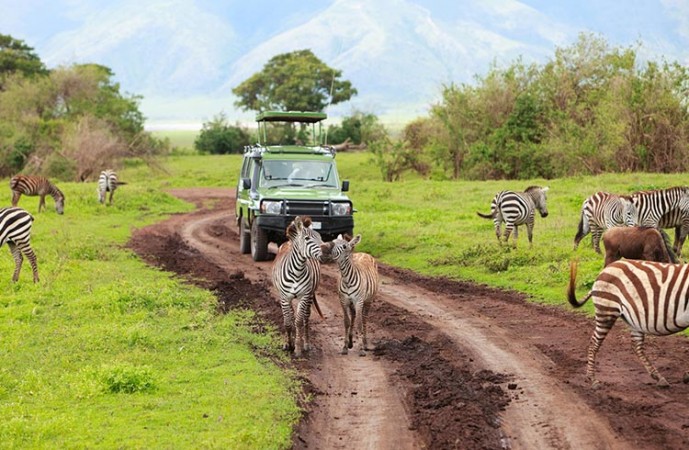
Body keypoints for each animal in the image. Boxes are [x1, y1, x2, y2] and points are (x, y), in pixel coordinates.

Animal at [270, 215, 322, 358]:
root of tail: (288, 242)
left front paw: (297, 348)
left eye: (320, 237)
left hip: (310, 295)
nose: (327, 249)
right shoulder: (284, 298)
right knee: (291, 316)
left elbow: (298, 321)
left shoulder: (303, 296)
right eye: (307, 239)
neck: (297, 271)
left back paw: (306, 344)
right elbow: (288, 322)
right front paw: (288, 344)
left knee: (305, 318)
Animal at [564, 258, 688, 388]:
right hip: (606, 310)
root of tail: (606, 269)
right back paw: (592, 379)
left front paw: (687, 376)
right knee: (594, 342)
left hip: (634, 320)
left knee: (636, 346)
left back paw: (658, 377)